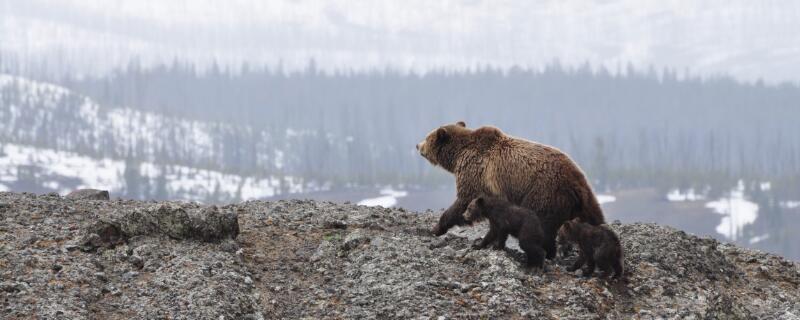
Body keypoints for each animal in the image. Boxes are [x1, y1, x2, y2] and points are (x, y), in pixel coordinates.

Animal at [418, 121, 608, 258]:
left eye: (427, 137)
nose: (417, 145)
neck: (458, 155)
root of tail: (576, 182)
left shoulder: (475, 172)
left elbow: (463, 201)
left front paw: (436, 228)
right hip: (585, 199)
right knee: (594, 218)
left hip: (544, 192)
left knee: (542, 225)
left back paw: (545, 252)